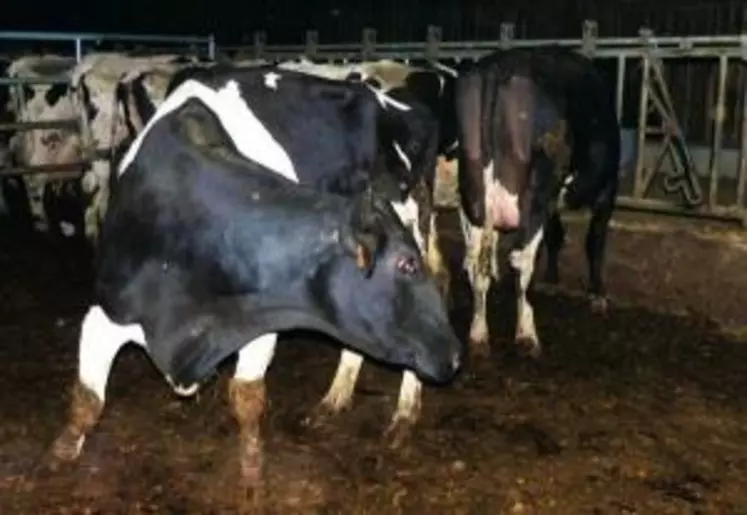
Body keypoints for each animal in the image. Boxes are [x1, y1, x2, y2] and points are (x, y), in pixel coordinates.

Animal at [458, 48, 624, 358]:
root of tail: (499, 67)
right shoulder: (607, 189)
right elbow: (595, 241)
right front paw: (598, 295)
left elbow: (556, 235)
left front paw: (552, 279)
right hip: (537, 191)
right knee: (520, 258)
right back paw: (526, 334)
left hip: (472, 196)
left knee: (476, 263)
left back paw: (478, 333)